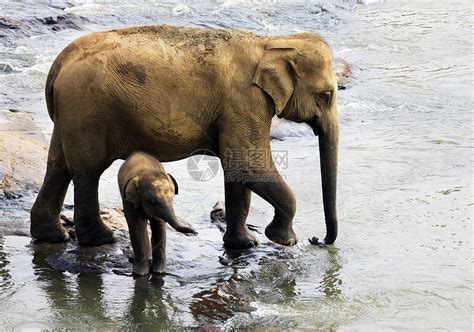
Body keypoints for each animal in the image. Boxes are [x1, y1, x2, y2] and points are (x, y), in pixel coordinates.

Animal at [29, 26, 338, 248]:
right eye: (326, 95)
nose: (317, 239)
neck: (271, 42)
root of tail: (58, 64)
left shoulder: (240, 108)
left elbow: (236, 168)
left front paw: (244, 244)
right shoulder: (245, 102)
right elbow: (247, 165)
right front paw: (282, 239)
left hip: (71, 114)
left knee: (59, 165)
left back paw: (52, 236)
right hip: (87, 108)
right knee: (87, 170)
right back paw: (102, 239)